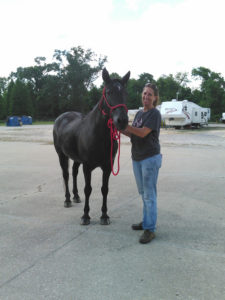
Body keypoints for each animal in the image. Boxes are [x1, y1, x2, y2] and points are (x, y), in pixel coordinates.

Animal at [53, 69, 130, 225]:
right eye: (109, 92)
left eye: (125, 93)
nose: (122, 121)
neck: (98, 135)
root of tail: (61, 117)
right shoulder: (87, 166)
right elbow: (88, 189)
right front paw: (85, 216)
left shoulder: (107, 166)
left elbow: (104, 189)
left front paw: (104, 215)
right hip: (61, 155)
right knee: (66, 175)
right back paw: (68, 199)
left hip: (76, 159)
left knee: (74, 172)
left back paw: (76, 197)